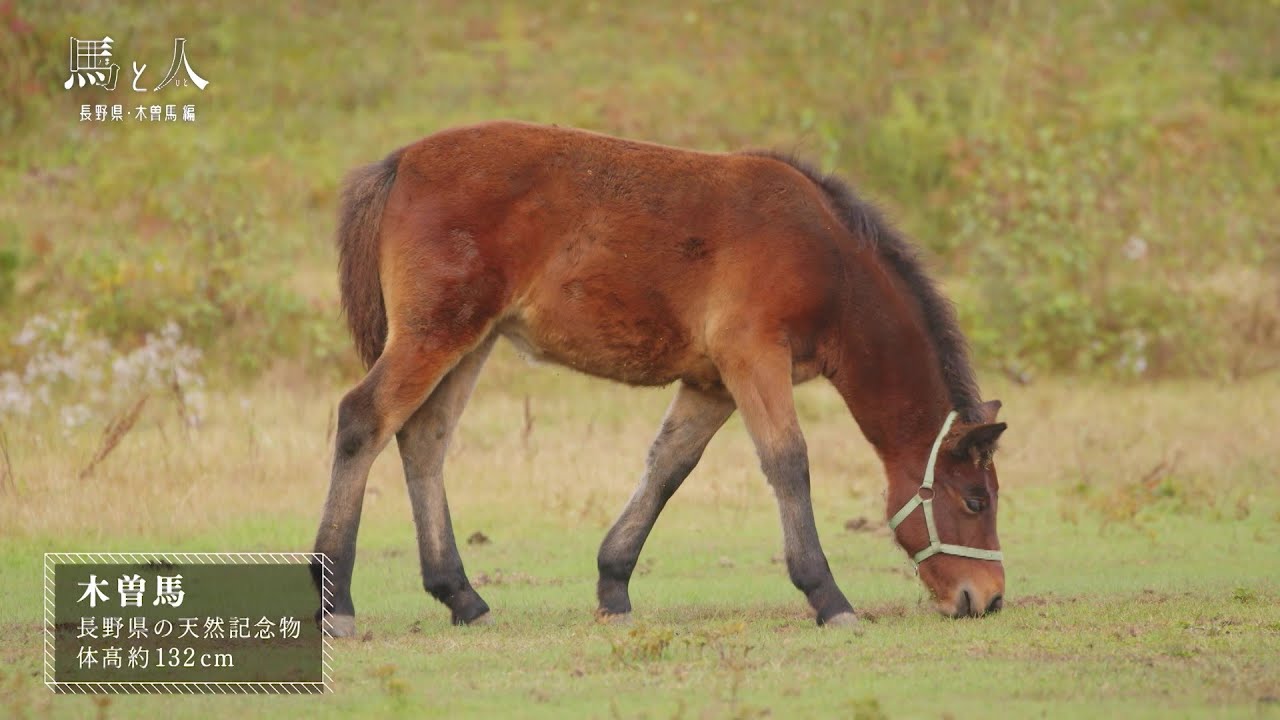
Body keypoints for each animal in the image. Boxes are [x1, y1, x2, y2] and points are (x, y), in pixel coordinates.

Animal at [311, 120, 1007, 635]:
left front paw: (613, 586)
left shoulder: (713, 381)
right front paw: (829, 598)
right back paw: (337, 604)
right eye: (975, 500)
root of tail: (401, 162)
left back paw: (461, 596)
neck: (827, 256)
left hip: (471, 340)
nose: (988, 598)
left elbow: (669, 466)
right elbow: (788, 462)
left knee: (423, 437)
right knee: (363, 420)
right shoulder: (754, 357)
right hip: (437, 333)